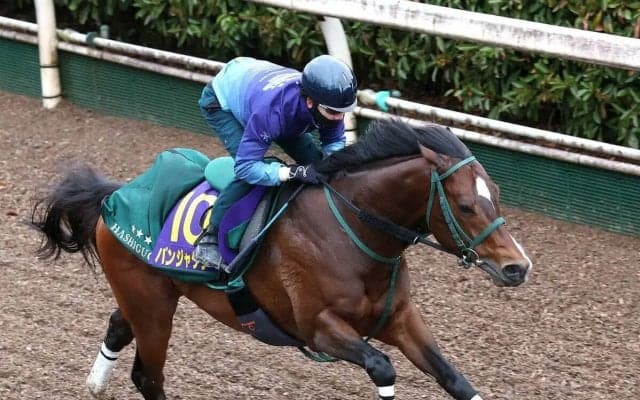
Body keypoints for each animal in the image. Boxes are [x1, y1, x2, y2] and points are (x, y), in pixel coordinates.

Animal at [31, 119, 532, 400]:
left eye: (497, 194)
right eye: (465, 206)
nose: (518, 267)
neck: (351, 235)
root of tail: (116, 193)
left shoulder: (401, 318)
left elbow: (455, 380)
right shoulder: (318, 328)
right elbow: (382, 367)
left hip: (147, 296)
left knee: (119, 325)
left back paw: (96, 384)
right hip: (153, 306)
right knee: (148, 377)